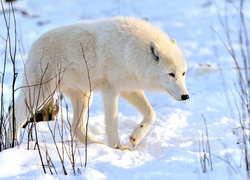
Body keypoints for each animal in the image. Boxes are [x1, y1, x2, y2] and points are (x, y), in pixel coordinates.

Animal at [11, 16, 188, 150]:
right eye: (171, 74)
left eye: (183, 73)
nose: (185, 96)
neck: (129, 50)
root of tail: (34, 44)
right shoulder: (110, 89)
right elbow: (112, 122)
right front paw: (117, 147)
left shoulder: (128, 89)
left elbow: (151, 114)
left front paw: (135, 137)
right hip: (40, 94)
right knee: (15, 115)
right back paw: (12, 143)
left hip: (84, 97)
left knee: (75, 126)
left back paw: (96, 144)